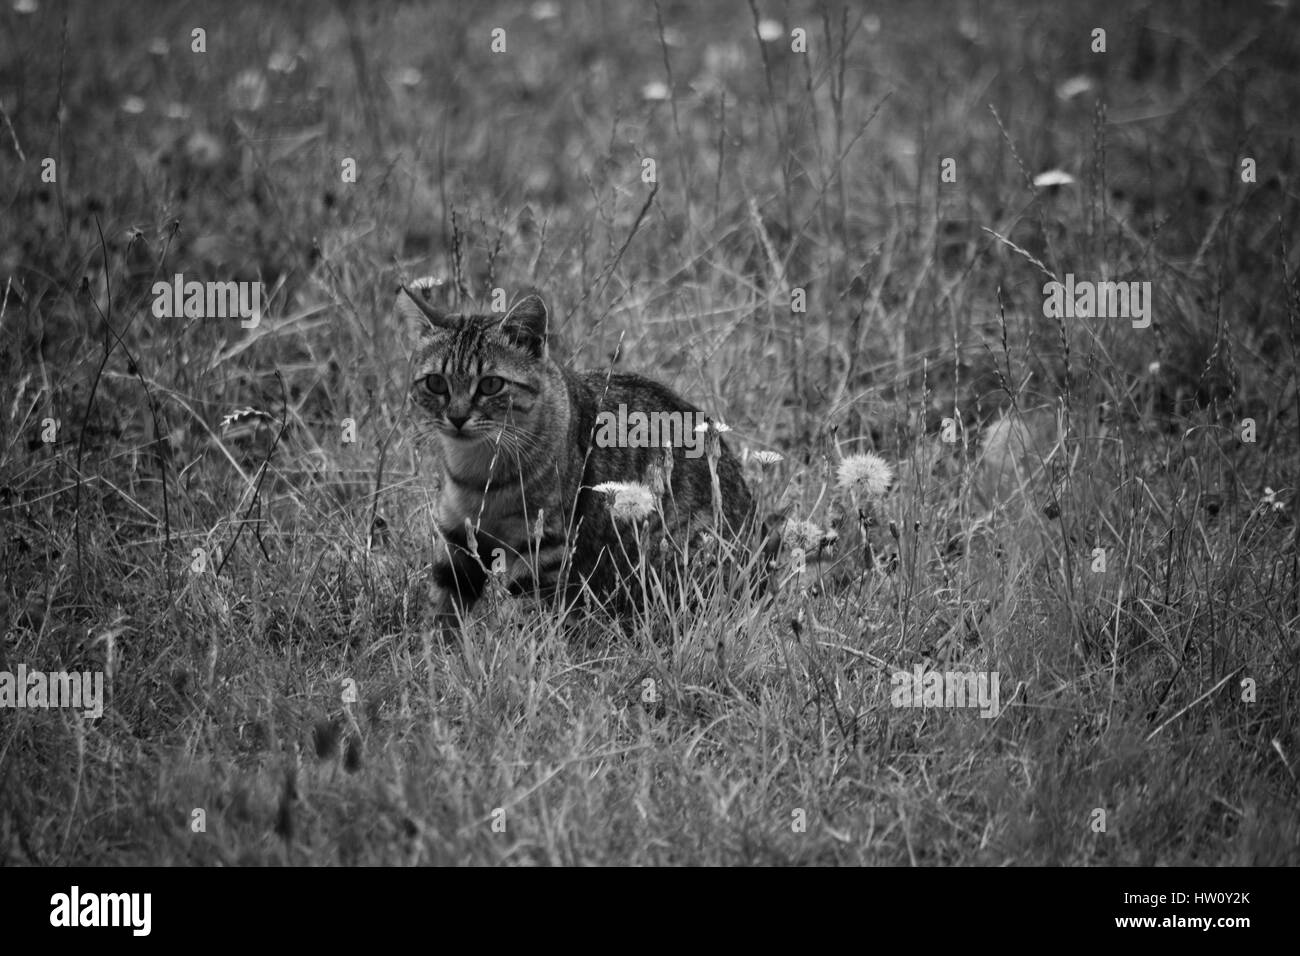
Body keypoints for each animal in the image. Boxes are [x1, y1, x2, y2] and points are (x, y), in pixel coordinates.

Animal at [400, 274, 759, 629]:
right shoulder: (456, 540)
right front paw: (435, 645)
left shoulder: (542, 548)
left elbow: (528, 623)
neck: (478, 469)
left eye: (490, 384)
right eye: (436, 383)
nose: (457, 417)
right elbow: (442, 614)